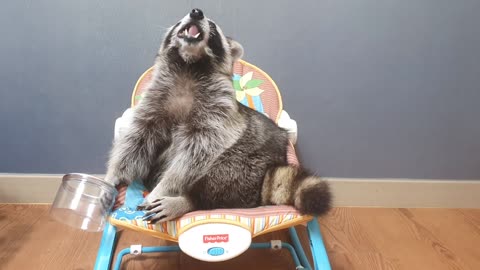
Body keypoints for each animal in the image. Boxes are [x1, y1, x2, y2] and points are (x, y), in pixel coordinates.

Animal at [104, 8, 330, 224]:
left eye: (212, 26)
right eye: (180, 21)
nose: (196, 12)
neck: (189, 65)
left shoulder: (216, 115)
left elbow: (192, 157)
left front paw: (165, 188)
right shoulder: (154, 102)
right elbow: (136, 140)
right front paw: (112, 176)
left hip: (251, 159)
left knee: (224, 173)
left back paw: (188, 200)